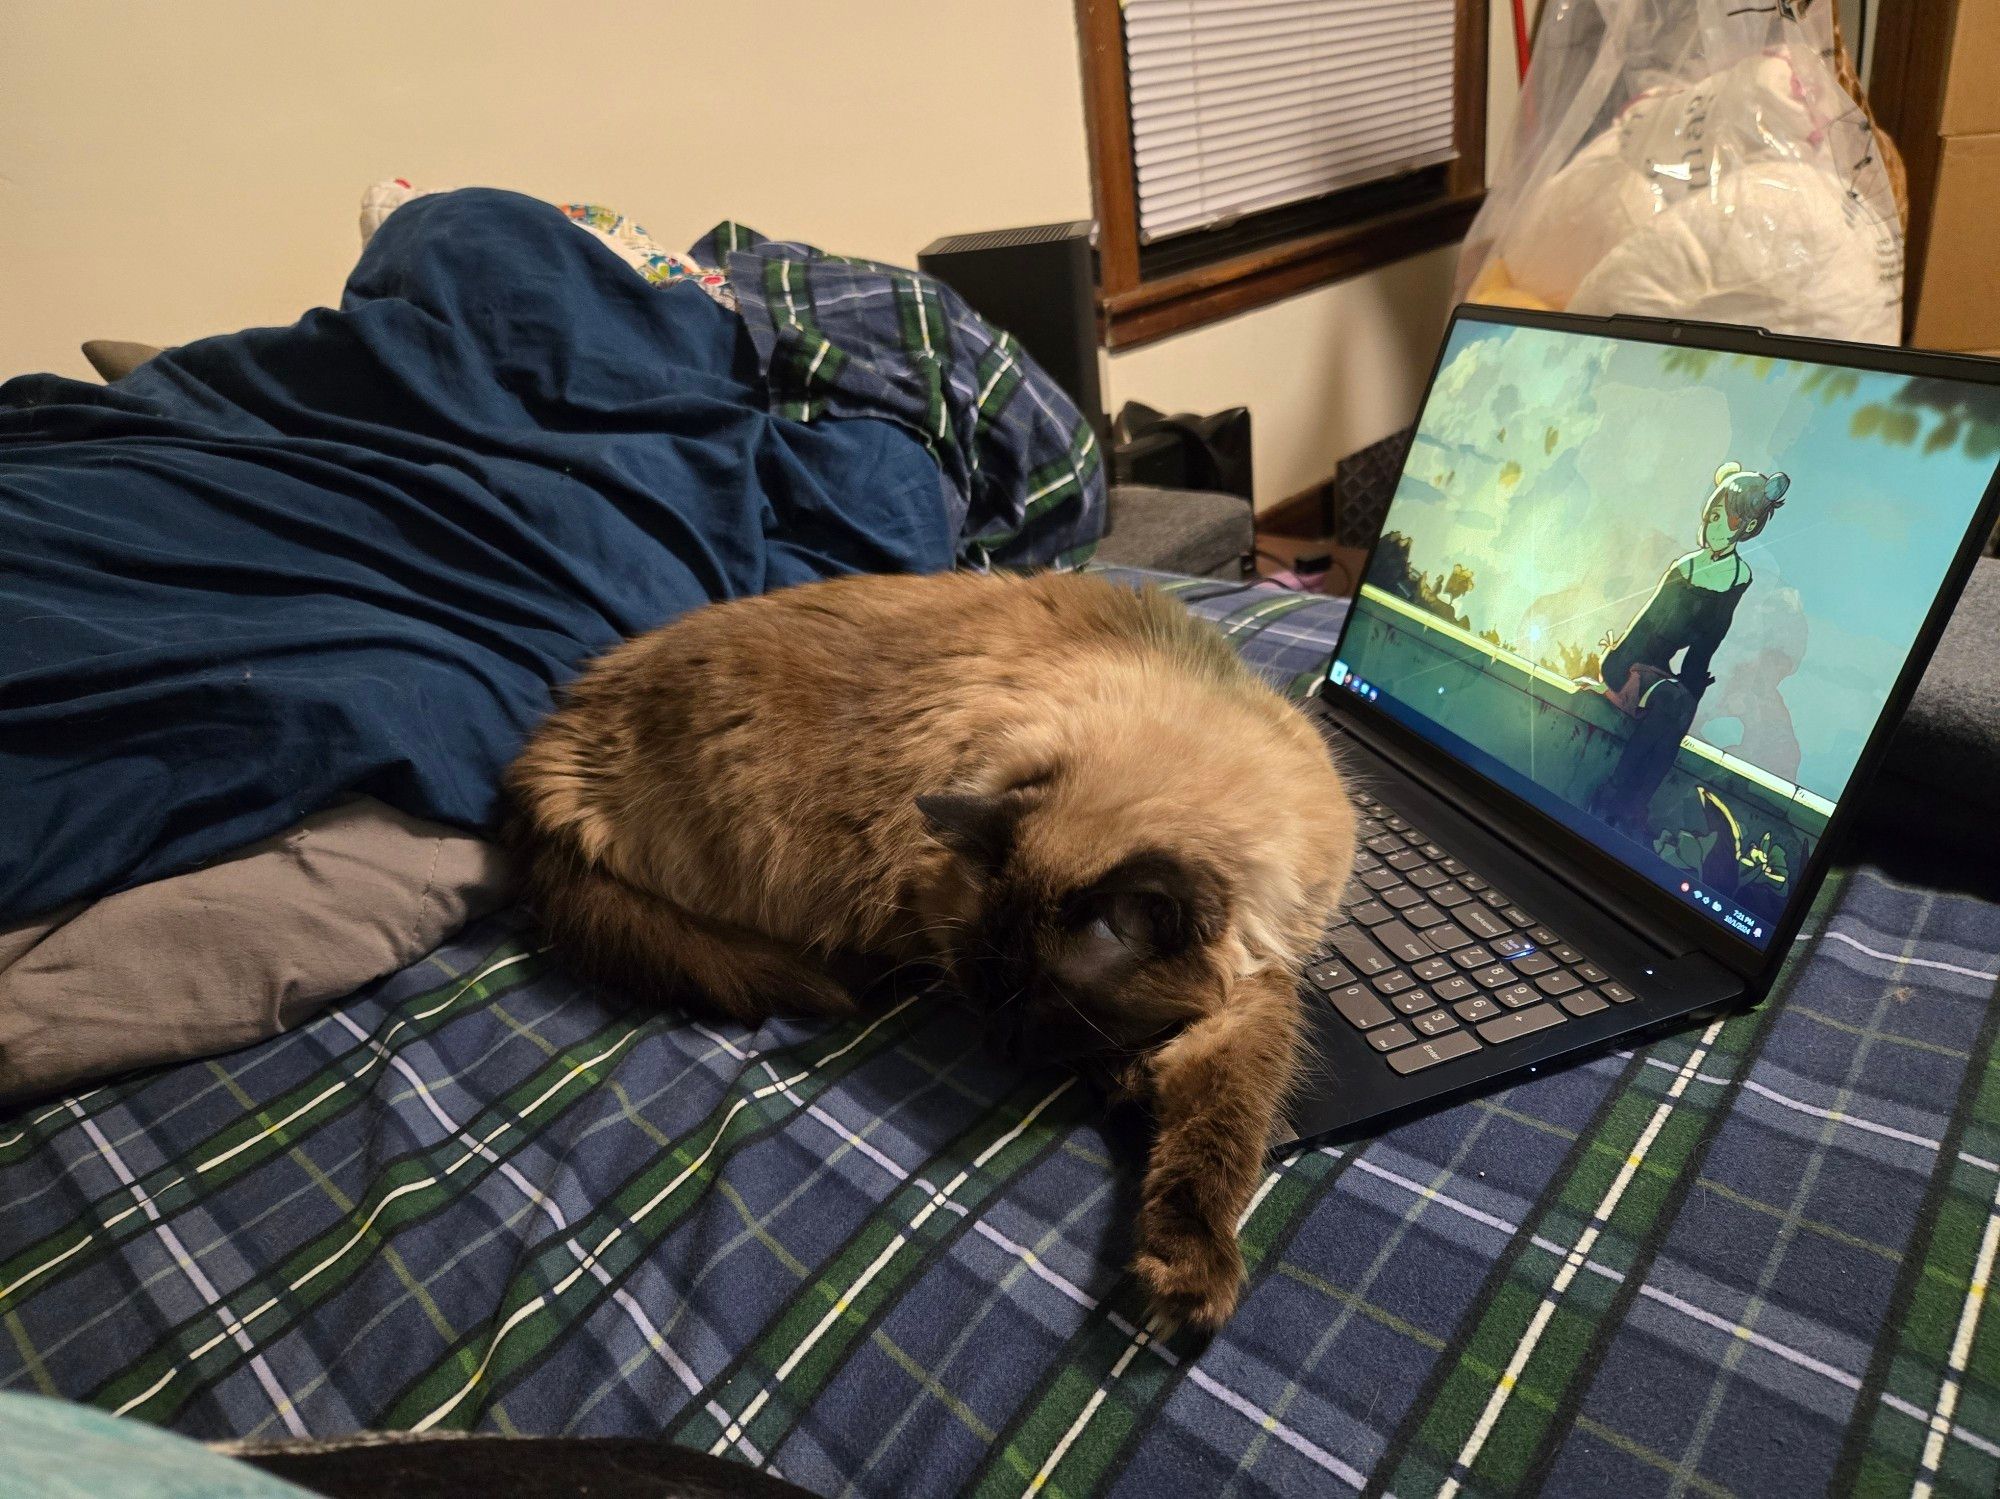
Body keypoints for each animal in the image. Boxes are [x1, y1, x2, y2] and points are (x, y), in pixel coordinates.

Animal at [508, 567, 1368, 1335]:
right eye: (985, 993)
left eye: (1046, 1002)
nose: (998, 1046)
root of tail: (544, 757)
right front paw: (1128, 1092)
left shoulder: (1255, 991)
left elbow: (1218, 1136)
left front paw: (1186, 1264)